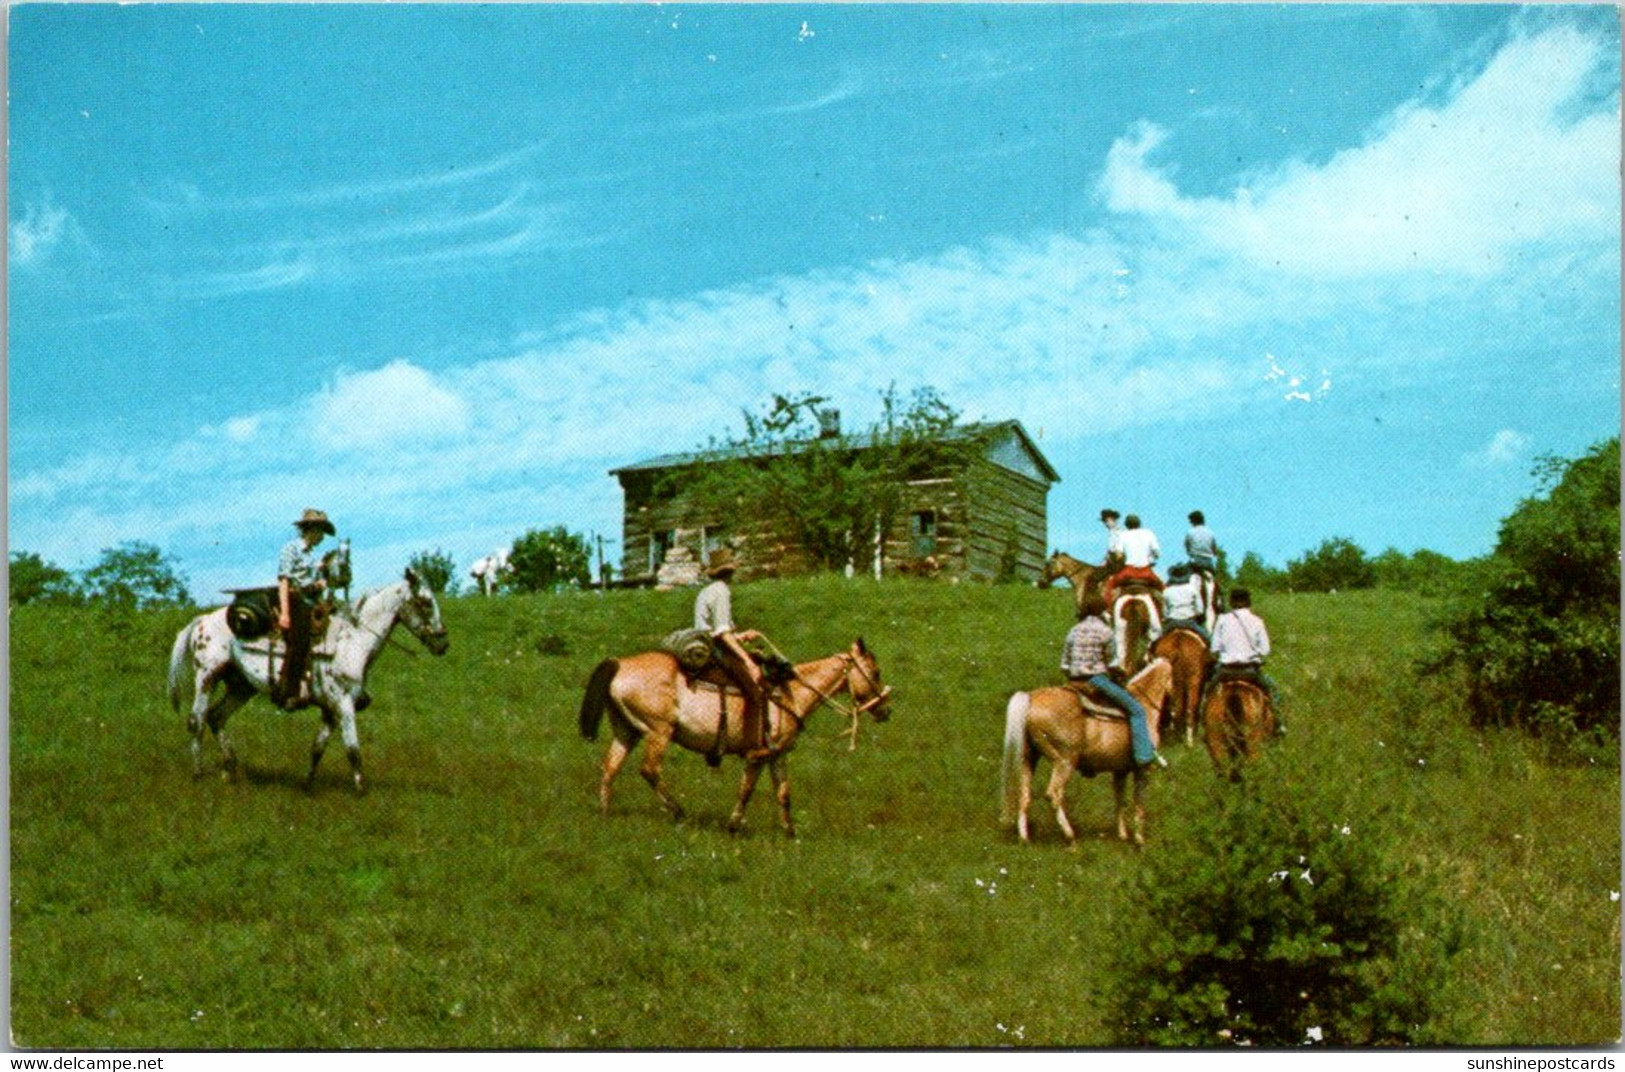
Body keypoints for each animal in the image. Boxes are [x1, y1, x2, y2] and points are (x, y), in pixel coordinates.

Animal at [165, 568, 451, 795]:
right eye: (426, 602)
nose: (442, 644)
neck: (352, 641)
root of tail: (202, 620)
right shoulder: (343, 703)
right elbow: (353, 748)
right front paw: (361, 791)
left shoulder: (330, 709)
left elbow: (318, 747)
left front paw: (307, 785)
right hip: (207, 677)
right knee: (197, 720)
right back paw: (199, 774)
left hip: (241, 687)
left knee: (216, 717)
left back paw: (231, 771)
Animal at [581, 636, 897, 838]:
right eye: (875, 672)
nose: (886, 710)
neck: (790, 694)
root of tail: (619, 664)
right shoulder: (757, 756)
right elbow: (746, 790)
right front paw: (733, 826)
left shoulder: (777, 755)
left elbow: (784, 793)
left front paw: (790, 833)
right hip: (659, 731)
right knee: (649, 769)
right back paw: (679, 812)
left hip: (627, 731)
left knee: (610, 768)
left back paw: (605, 815)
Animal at [994, 656, 1176, 851]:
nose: (1174, 706)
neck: (1144, 703)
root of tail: (1031, 699)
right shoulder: (1143, 769)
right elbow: (1139, 802)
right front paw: (1139, 839)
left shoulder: (1120, 770)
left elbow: (1120, 799)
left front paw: (1122, 835)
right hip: (1065, 762)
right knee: (1053, 794)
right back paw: (1070, 838)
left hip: (1029, 759)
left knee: (1025, 794)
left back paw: (1024, 839)